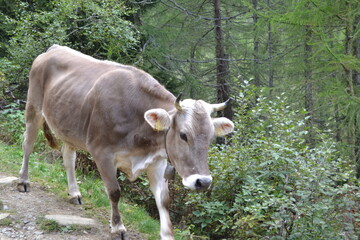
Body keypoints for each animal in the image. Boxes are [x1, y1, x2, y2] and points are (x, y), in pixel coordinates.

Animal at [18, 44, 233, 238]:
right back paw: (23, 181)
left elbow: (164, 200)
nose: (203, 182)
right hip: (33, 108)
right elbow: (114, 191)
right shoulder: (102, 153)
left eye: (211, 137)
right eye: (183, 135)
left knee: (68, 158)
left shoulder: (157, 161)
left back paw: (74, 193)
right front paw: (117, 227)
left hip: (68, 127)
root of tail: (53, 49)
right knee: (27, 145)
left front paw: (167, 234)